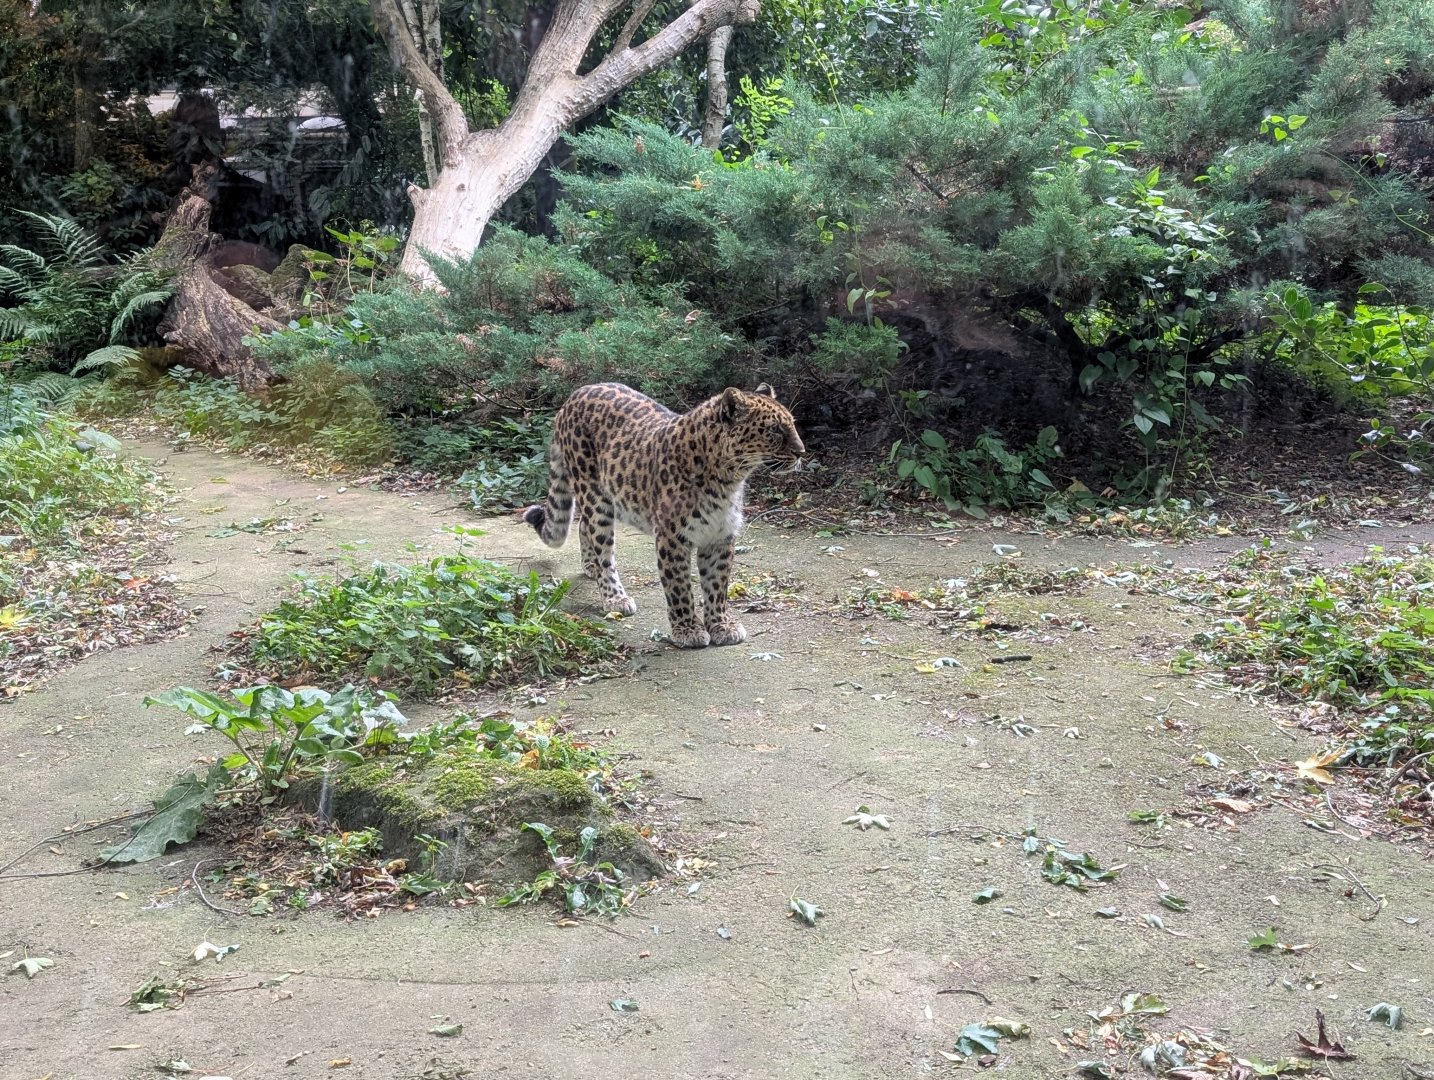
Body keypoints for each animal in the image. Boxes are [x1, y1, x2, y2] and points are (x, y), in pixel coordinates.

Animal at [523, 382, 805, 649]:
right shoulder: (672, 537)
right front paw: (688, 631)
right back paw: (614, 596)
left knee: (584, 526)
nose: (801, 452)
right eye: (774, 430)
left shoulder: (720, 536)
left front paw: (721, 626)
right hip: (594, 495)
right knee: (602, 547)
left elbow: (717, 587)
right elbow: (679, 587)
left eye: (791, 424)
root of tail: (575, 394)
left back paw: (591, 567)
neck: (728, 479)